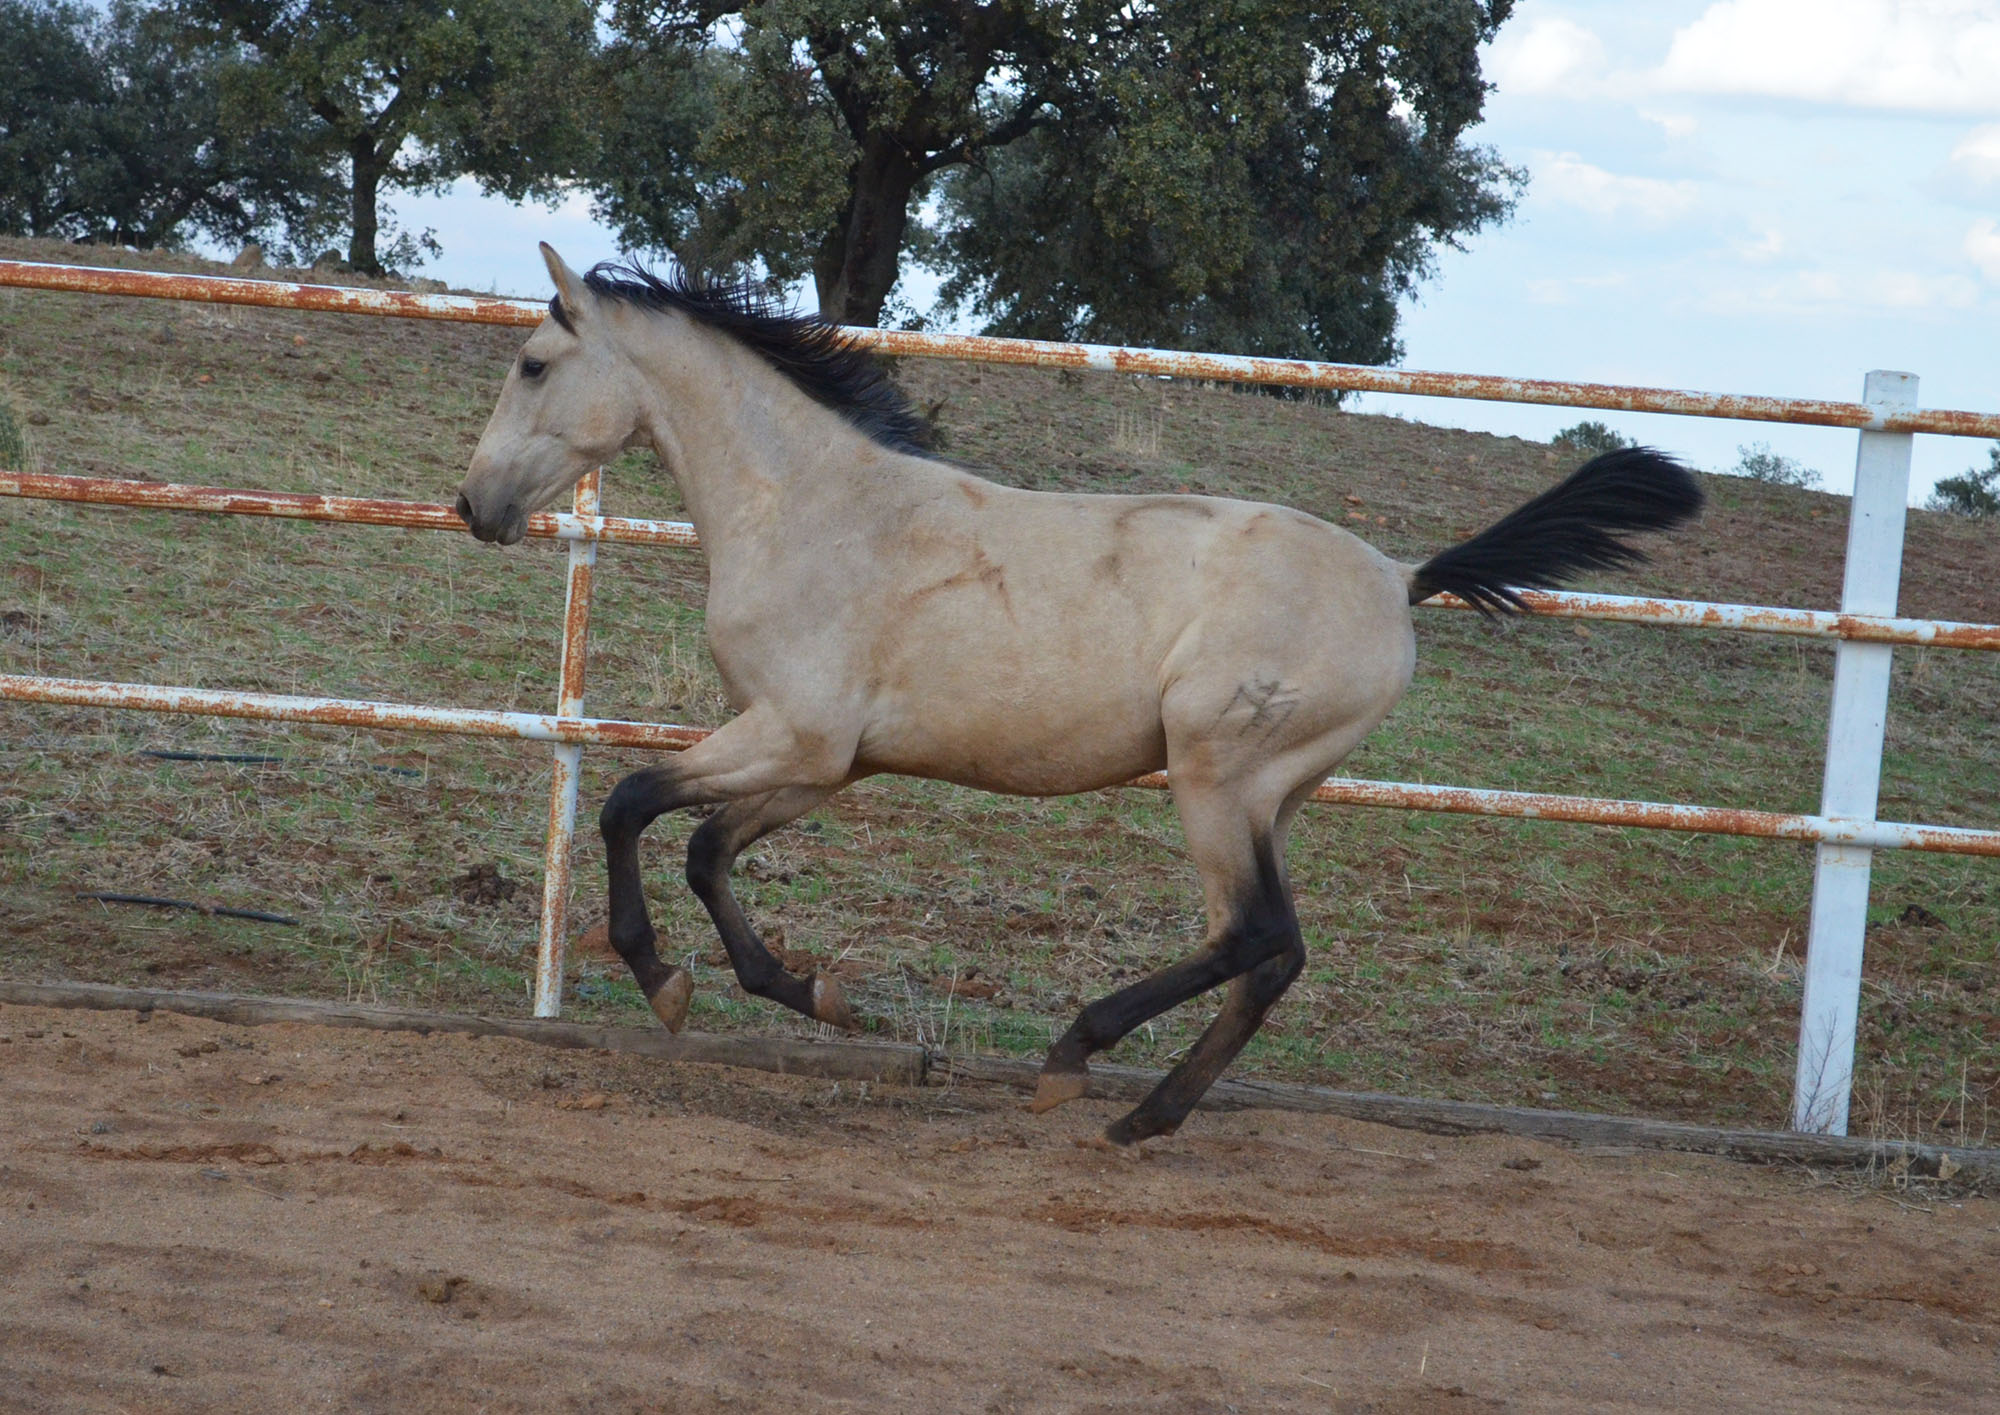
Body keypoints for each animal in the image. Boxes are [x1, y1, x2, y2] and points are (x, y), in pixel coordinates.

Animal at [458, 245, 1704, 1151]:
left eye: (532, 364)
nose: (472, 504)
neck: (812, 509)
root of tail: (1400, 580)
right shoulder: (826, 761)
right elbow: (707, 847)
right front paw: (813, 996)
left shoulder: (791, 737)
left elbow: (630, 800)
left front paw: (667, 982)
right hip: (1272, 791)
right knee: (1276, 951)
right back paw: (1144, 1113)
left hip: (1214, 775)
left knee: (1251, 931)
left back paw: (1075, 1059)